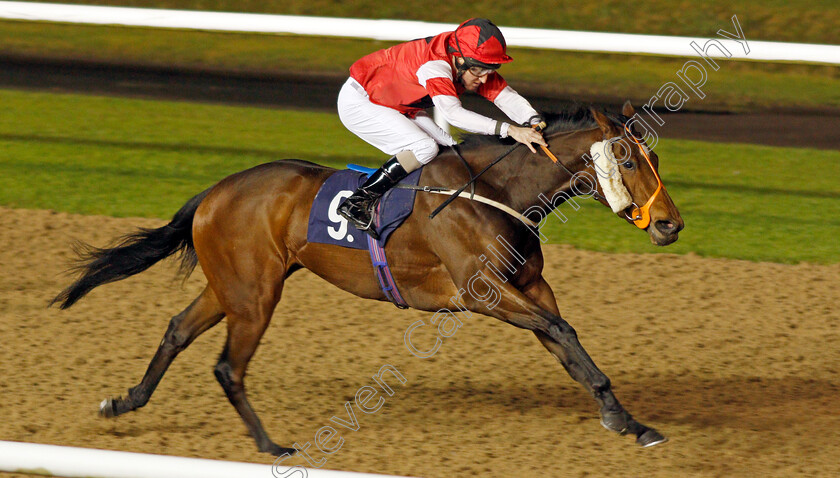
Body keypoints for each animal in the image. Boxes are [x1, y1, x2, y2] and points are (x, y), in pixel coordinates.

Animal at [50, 102, 684, 456]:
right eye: (628, 159)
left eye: (655, 159)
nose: (671, 224)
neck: (496, 193)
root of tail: (215, 191)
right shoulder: (484, 294)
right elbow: (565, 332)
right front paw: (622, 417)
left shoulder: (527, 288)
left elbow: (565, 341)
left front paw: (628, 421)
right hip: (255, 295)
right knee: (229, 365)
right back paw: (270, 444)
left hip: (231, 286)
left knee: (178, 330)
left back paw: (124, 402)